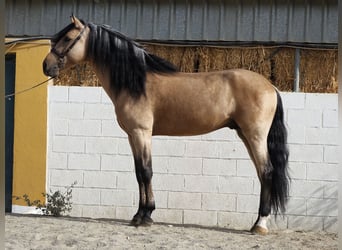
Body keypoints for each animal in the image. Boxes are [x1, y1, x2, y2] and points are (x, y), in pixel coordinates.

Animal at [42, 15, 288, 234]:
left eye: (67, 38)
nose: (46, 66)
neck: (136, 83)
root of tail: (270, 87)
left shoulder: (142, 133)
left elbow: (146, 171)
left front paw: (145, 216)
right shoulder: (132, 135)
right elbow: (138, 172)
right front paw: (139, 215)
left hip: (255, 135)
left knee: (267, 171)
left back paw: (260, 225)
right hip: (245, 135)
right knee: (261, 173)